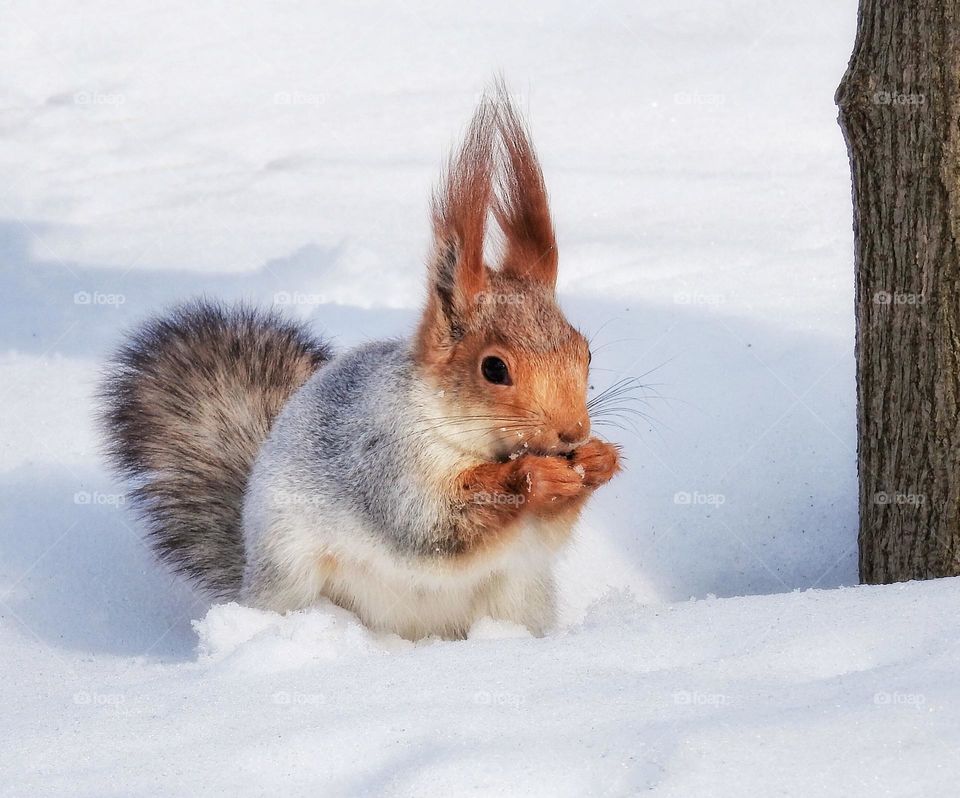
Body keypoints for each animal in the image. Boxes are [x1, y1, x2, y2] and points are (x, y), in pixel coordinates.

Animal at [99, 84, 624, 640]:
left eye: (585, 351)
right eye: (494, 368)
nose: (572, 432)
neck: (476, 444)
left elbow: (545, 535)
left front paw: (598, 461)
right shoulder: (384, 460)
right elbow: (432, 525)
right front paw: (533, 475)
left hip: (519, 595)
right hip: (291, 569)